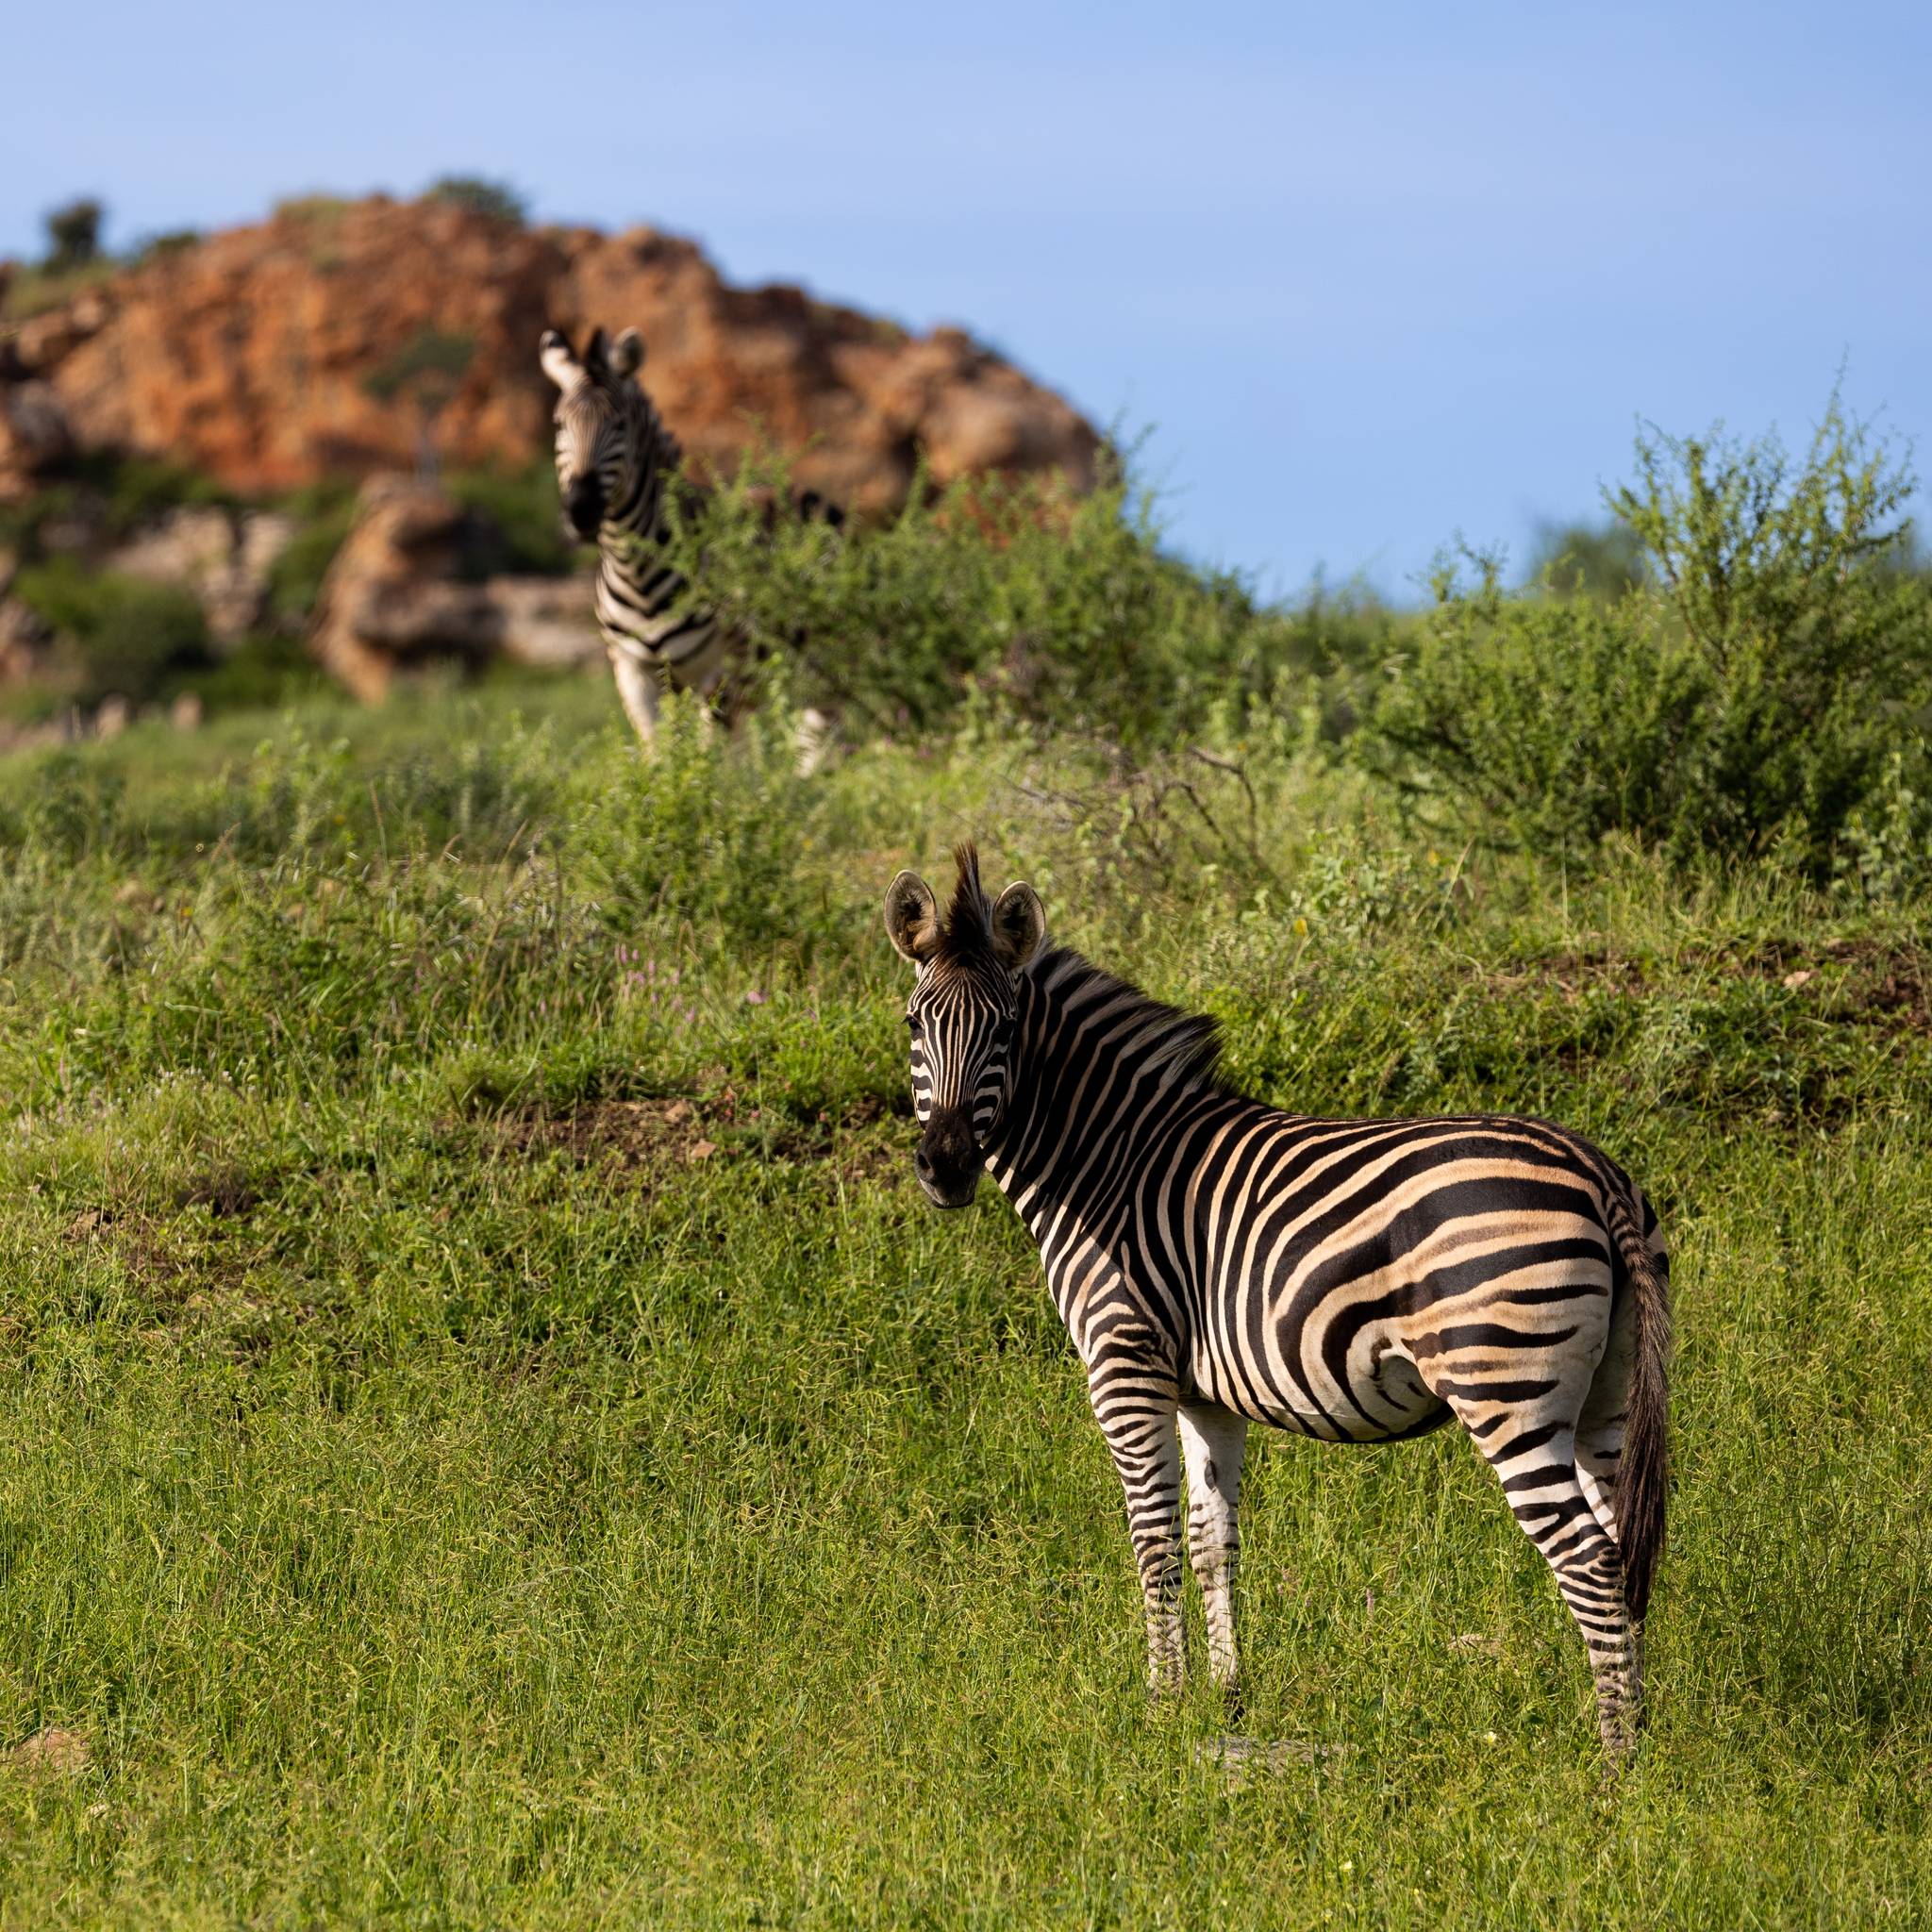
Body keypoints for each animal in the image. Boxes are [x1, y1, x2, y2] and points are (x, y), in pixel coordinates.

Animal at [537, 328, 838, 757]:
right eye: (560, 425)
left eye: (620, 425)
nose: (581, 511)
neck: (636, 568)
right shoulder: (633, 673)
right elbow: (658, 756)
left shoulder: (722, 672)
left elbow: (712, 759)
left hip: (826, 656)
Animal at [884, 841, 1669, 1754]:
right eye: (914, 1024)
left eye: (1006, 1030)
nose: (945, 1167)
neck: (1107, 1163)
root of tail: (1596, 1170)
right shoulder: (1203, 1394)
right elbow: (1211, 1542)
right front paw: (1224, 1698)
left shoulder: (1123, 1363)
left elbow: (1153, 1541)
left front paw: (1159, 1708)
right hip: (1605, 1396)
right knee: (1621, 1546)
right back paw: (1643, 1741)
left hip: (1505, 1385)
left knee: (1587, 1559)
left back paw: (1613, 1762)